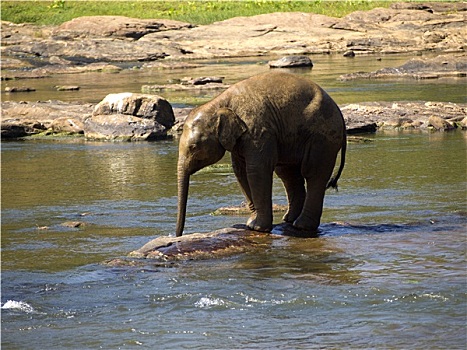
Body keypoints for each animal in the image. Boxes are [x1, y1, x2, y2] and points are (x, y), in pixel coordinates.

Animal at [177, 71, 346, 237]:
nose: (178, 234)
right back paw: (289, 220)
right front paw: (250, 224)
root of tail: (340, 115)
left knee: (313, 173)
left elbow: (257, 170)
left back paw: (301, 226)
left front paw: (258, 228)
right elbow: (241, 172)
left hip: (322, 137)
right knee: (288, 174)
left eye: (193, 147)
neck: (219, 103)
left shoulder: (258, 131)